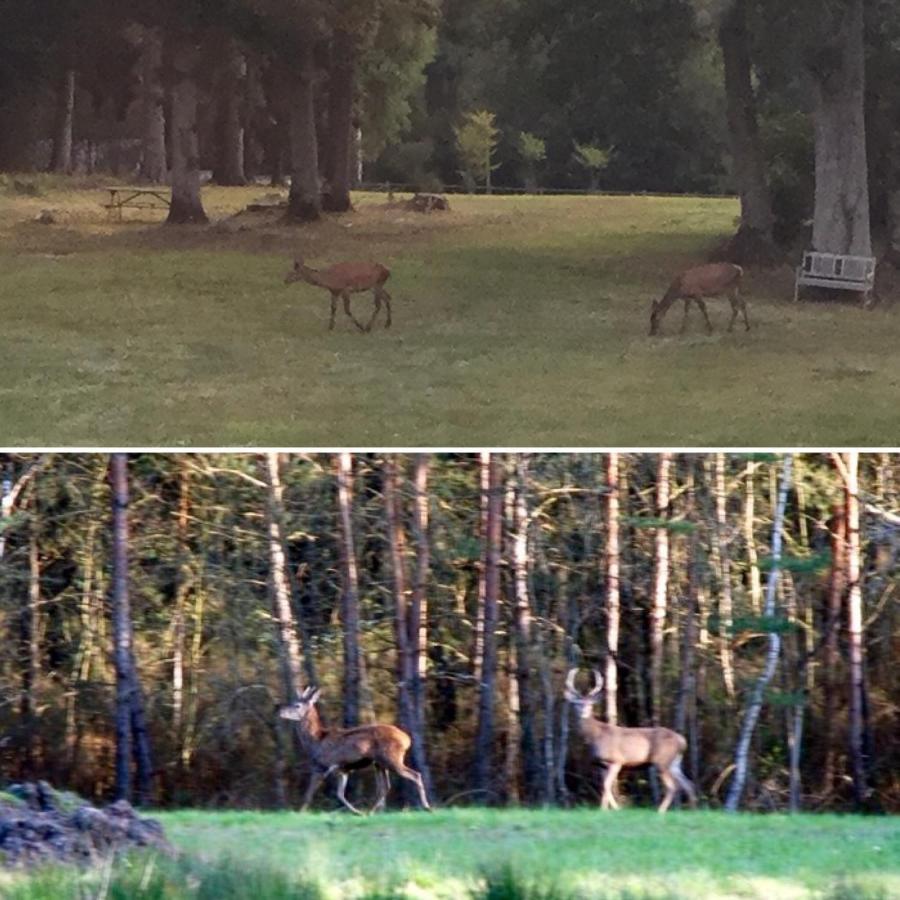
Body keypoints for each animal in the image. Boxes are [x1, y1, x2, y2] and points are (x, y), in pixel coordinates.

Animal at [278, 688, 432, 816]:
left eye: (297, 705)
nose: (280, 711)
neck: (316, 742)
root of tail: (407, 739)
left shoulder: (322, 766)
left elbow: (309, 793)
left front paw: (299, 812)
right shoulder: (342, 770)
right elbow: (340, 794)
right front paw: (356, 812)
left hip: (391, 758)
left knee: (415, 775)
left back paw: (426, 806)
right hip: (379, 764)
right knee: (385, 787)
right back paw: (370, 811)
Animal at [564, 664, 704, 812]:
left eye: (590, 704)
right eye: (577, 703)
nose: (583, 713)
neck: (595, 736)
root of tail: (682, 741)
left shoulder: (617, 760)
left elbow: (607, 785)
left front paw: (608, 809)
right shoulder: (601, 764)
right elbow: (605, 786)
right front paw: (611, 809)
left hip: (662, 760)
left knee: (673, 786)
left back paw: (660, 811)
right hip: (674, 762)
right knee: (688, 784)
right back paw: (693, 810)